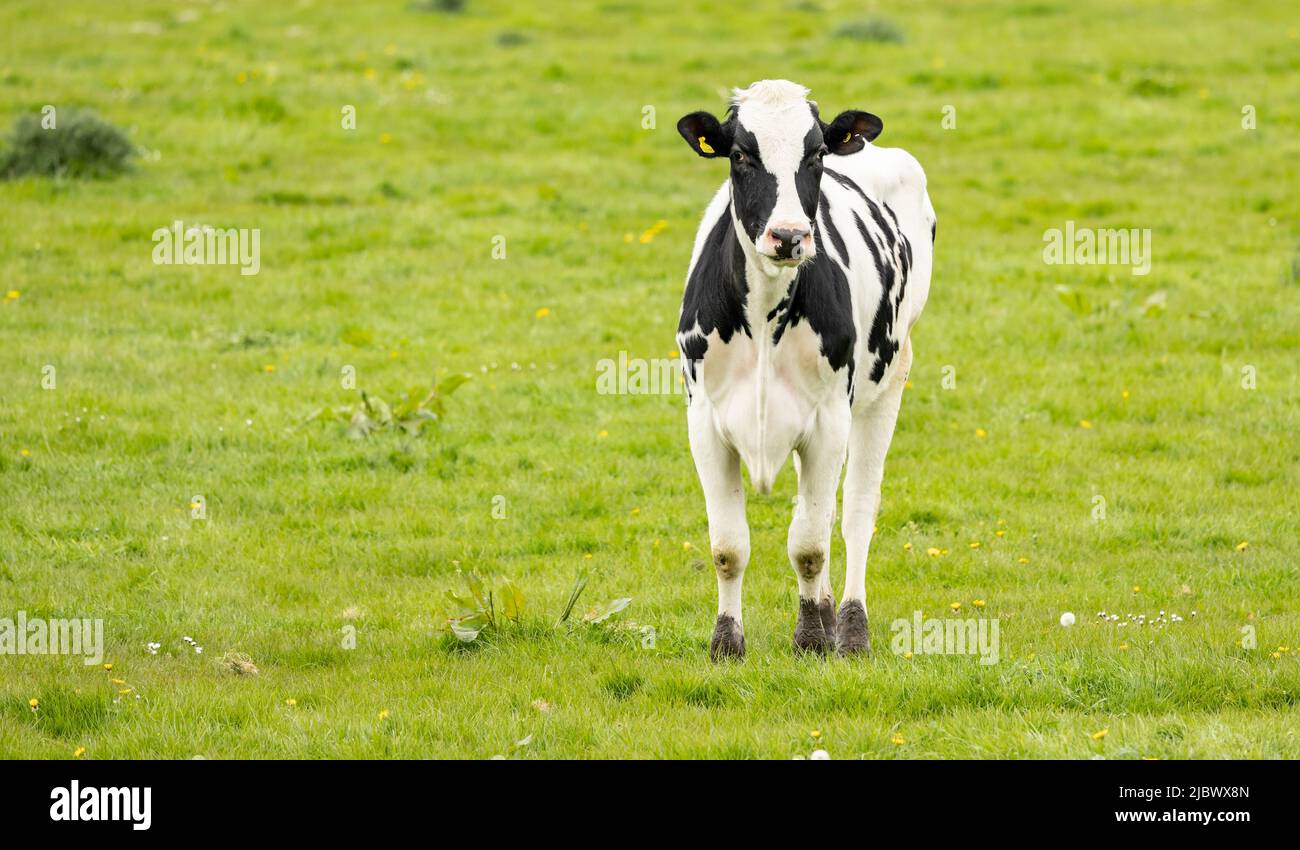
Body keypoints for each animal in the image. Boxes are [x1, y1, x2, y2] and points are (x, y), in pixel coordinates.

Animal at [675, 80, 935, 660]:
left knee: (854, 513)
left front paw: (813, 638)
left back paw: (851, 627)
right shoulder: (704, 423)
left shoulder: (830, 420)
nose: (789, 236)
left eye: (815, 154)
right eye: (740, 155)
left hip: (887, 385)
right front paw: (727, 643)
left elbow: (810, 544)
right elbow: (728, 547)